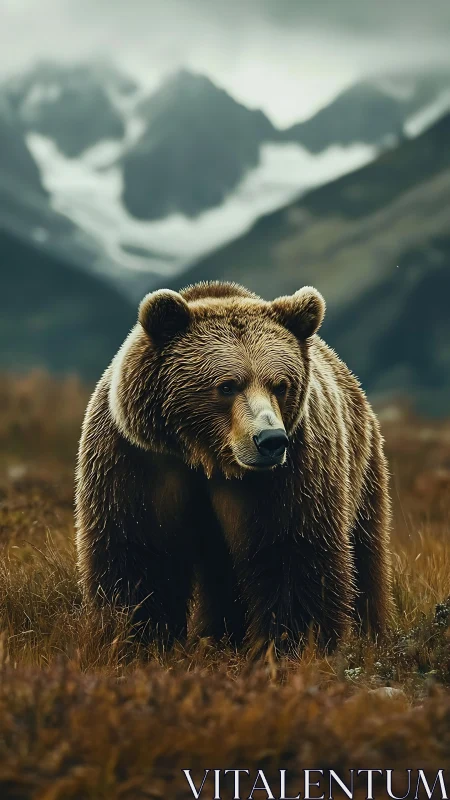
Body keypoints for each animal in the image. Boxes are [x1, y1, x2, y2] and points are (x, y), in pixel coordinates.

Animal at [75, 281, 392, 654]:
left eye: (280, 385)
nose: (271, 440)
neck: (206, 456)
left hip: (362, 466)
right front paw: (137, 637)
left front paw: (293, 643)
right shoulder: (138, 460)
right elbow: (138, 552)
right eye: (227, 385)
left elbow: (291, 551)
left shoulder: (290, 475)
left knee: (365, 553)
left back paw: (371, 632)